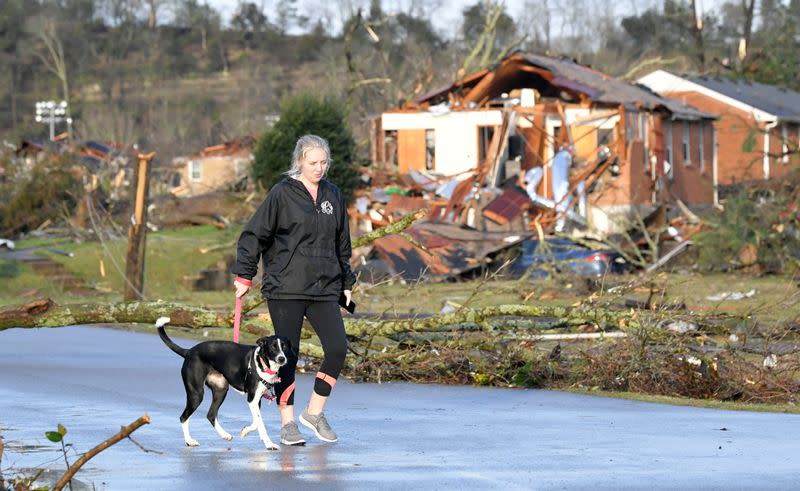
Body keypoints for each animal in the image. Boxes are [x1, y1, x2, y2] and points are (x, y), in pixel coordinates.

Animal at [157, 318, 290, 452]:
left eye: (285, 347)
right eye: (273, 347)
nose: (282, 359)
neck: (263, 362)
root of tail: (189, 351)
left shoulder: (256, 399)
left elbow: (256, 421)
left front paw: (245, 431)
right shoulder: (252, 399)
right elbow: (260, 423)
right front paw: (269, 444)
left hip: (221, 390)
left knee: (211, 414)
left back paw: (224, 434)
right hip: (196, 394)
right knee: (183, 417)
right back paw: (189, 441)